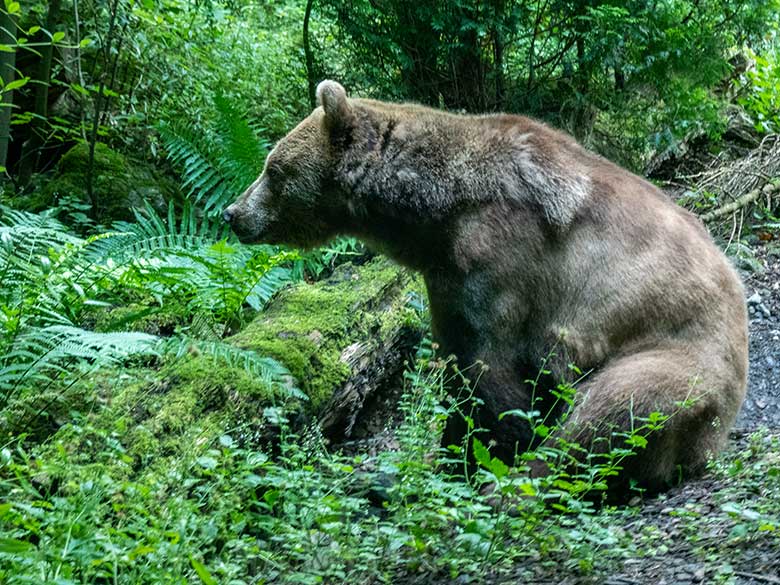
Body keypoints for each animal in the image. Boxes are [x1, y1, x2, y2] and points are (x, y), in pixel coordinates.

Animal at [224, 81, 748, 492]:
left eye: (272, 169)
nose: (233, 213)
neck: (434, 216)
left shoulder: (500, 259)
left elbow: (489, 374)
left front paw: (466, 462)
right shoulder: (444, 276)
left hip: (678, 362)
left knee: (610, 413)